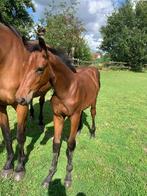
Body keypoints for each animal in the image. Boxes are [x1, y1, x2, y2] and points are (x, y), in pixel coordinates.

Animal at [15, 37, 101, 188]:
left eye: (40, 69)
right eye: (24, 68)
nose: (20, 98)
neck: (67, 89)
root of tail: (92, 68)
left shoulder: (73, 116)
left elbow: (71, 144)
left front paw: (68, 177)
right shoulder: (58, 117)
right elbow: (56, 144)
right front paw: (49, 176)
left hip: (93, 102)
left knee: (92, 114)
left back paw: (92, 133)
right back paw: (79, 130)